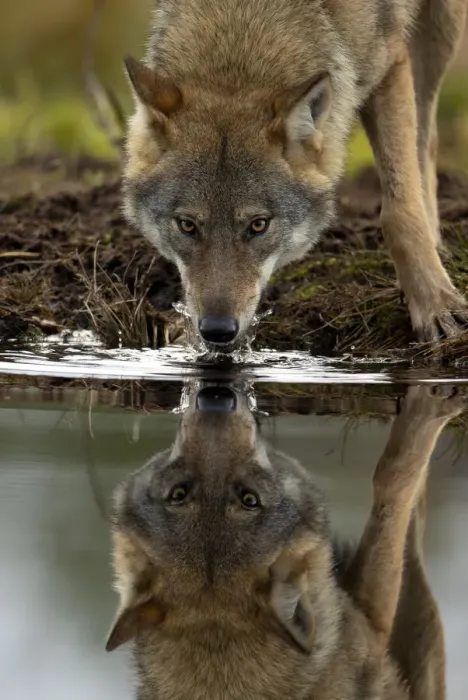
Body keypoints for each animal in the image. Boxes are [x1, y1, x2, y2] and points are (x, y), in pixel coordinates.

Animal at [105, 381, 462, 699]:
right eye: (251, 499)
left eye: (177, 494)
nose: (215, 401)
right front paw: (431, 404)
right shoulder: (376, 616)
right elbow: (393, 480)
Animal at [122, 0, 468, 352]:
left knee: (425, 138)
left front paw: (436, 304)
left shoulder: (391, 61)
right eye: (187, 225)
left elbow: (399, 212)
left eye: (258, 225)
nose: (217, 330)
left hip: (441, 27)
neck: (243, 19)